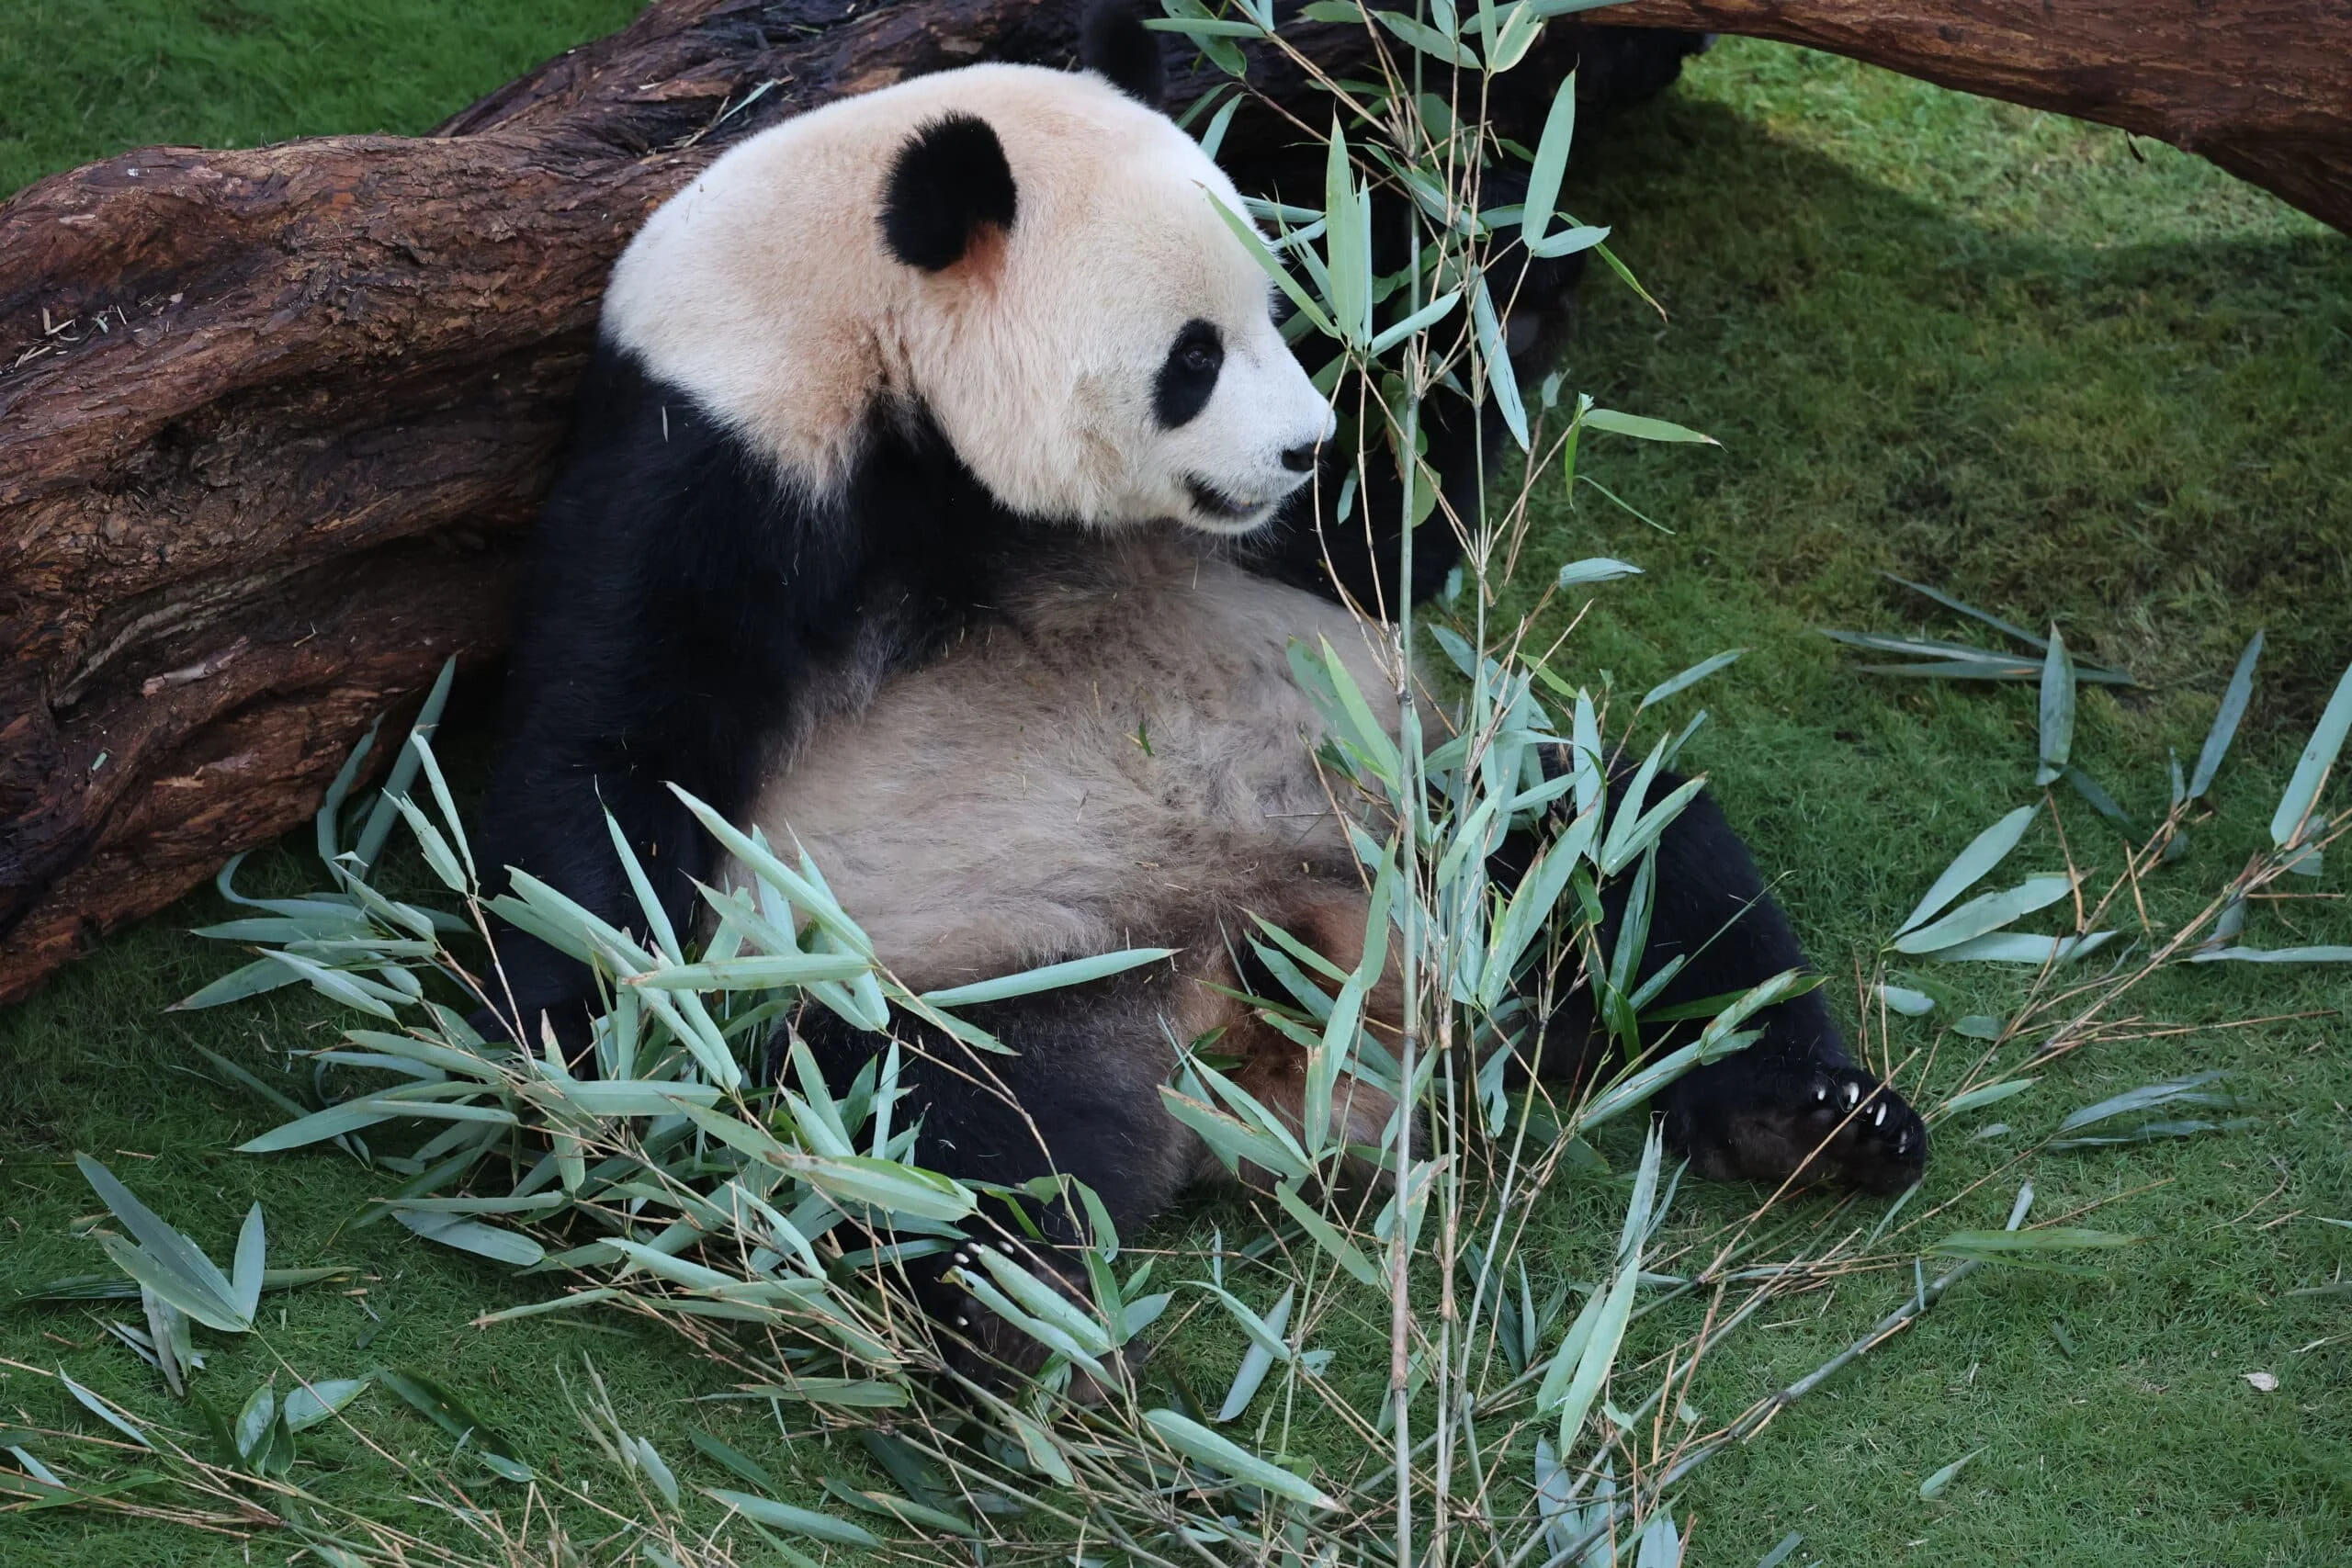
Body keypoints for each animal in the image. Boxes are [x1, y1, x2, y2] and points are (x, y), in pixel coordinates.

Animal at [475, 3, 1925, 1342]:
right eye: (1192, 356)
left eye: (1282, 313)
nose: (1299, 441)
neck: (879, 356)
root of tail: (1264, 1023)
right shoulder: (718, 447)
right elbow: (609, 749)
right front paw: (581, 1076)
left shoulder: (1249, 543)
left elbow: (1369, 547)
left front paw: (1505, 285)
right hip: (982, 980)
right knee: (956, 1161)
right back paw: (1009, 1380)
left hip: (1427, 815)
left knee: (1640, 860)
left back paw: (1816, 1121)